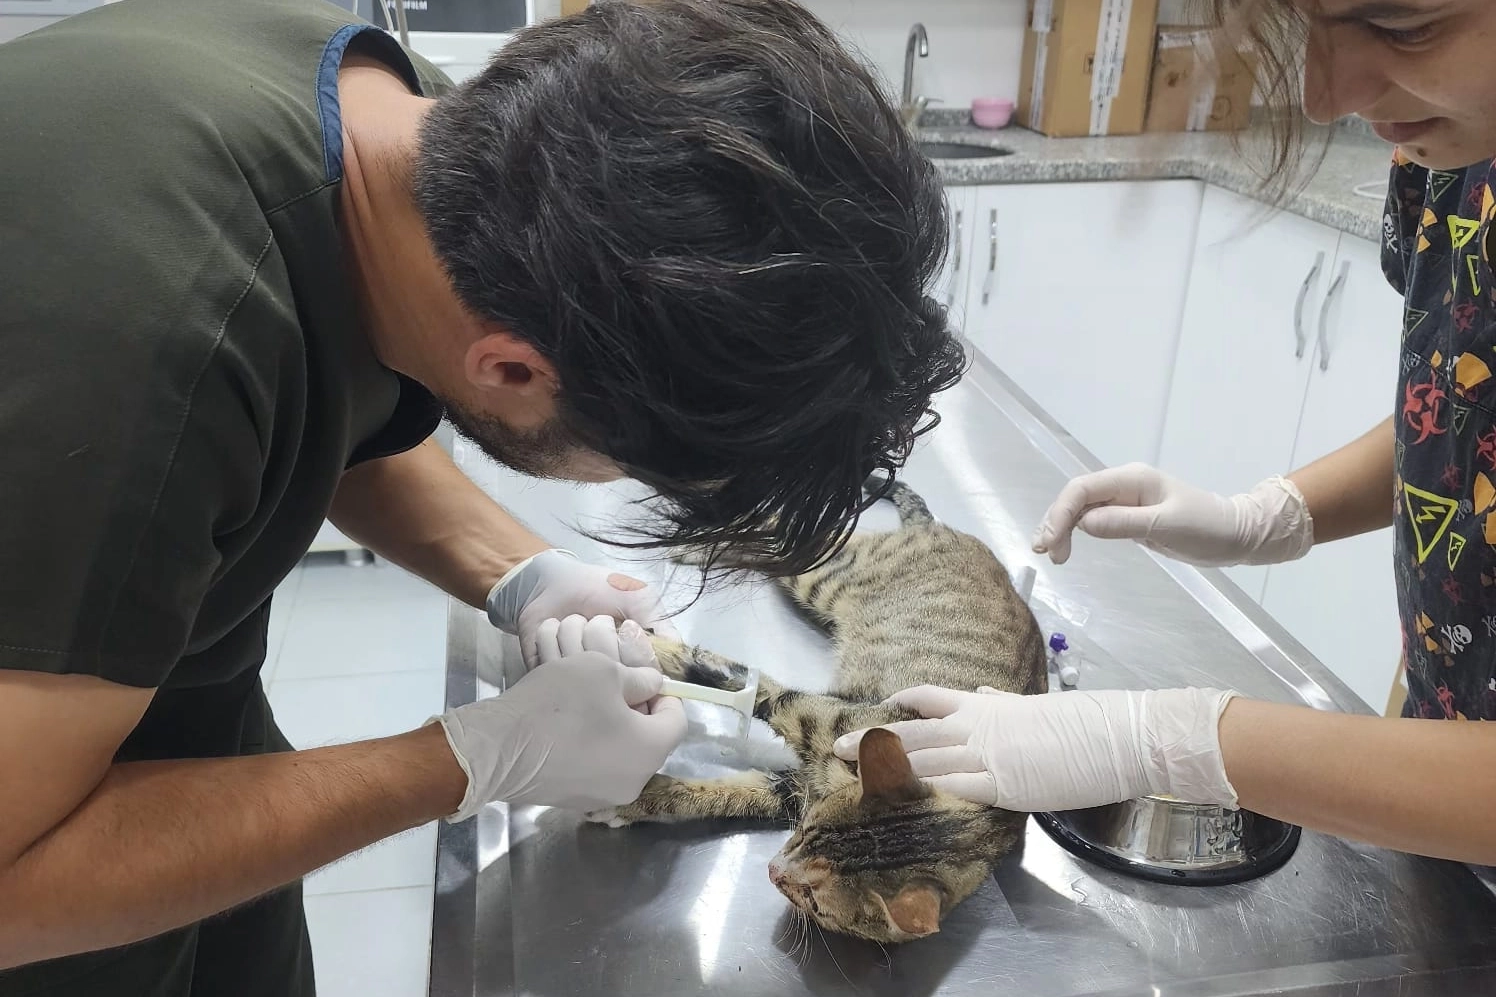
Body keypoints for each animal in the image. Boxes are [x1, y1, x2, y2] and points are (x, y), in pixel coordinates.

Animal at [587, 477, 1047, 944]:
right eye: (804, 833)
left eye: (813, 897)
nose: (773, 869)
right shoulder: (803, 710)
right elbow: (733, 679)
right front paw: (636, 641)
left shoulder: (794, 790)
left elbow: (719, 793)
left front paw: (633, 800)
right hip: (826, 572)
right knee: (780, 527)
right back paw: (696, 534)